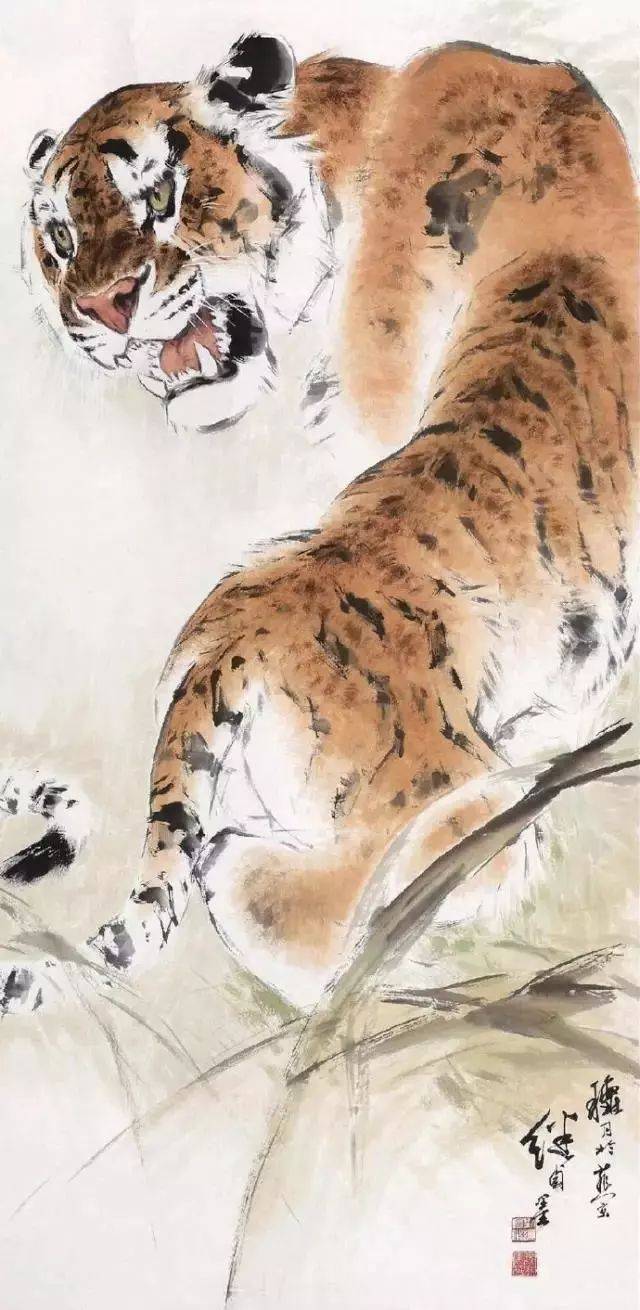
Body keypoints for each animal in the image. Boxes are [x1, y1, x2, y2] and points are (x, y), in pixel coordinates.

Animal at [2, 34, 637, 1012]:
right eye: (60, 239)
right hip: (467, 804)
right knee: (310, 911)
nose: (97, 311)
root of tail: (229, 648)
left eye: (161, 197)